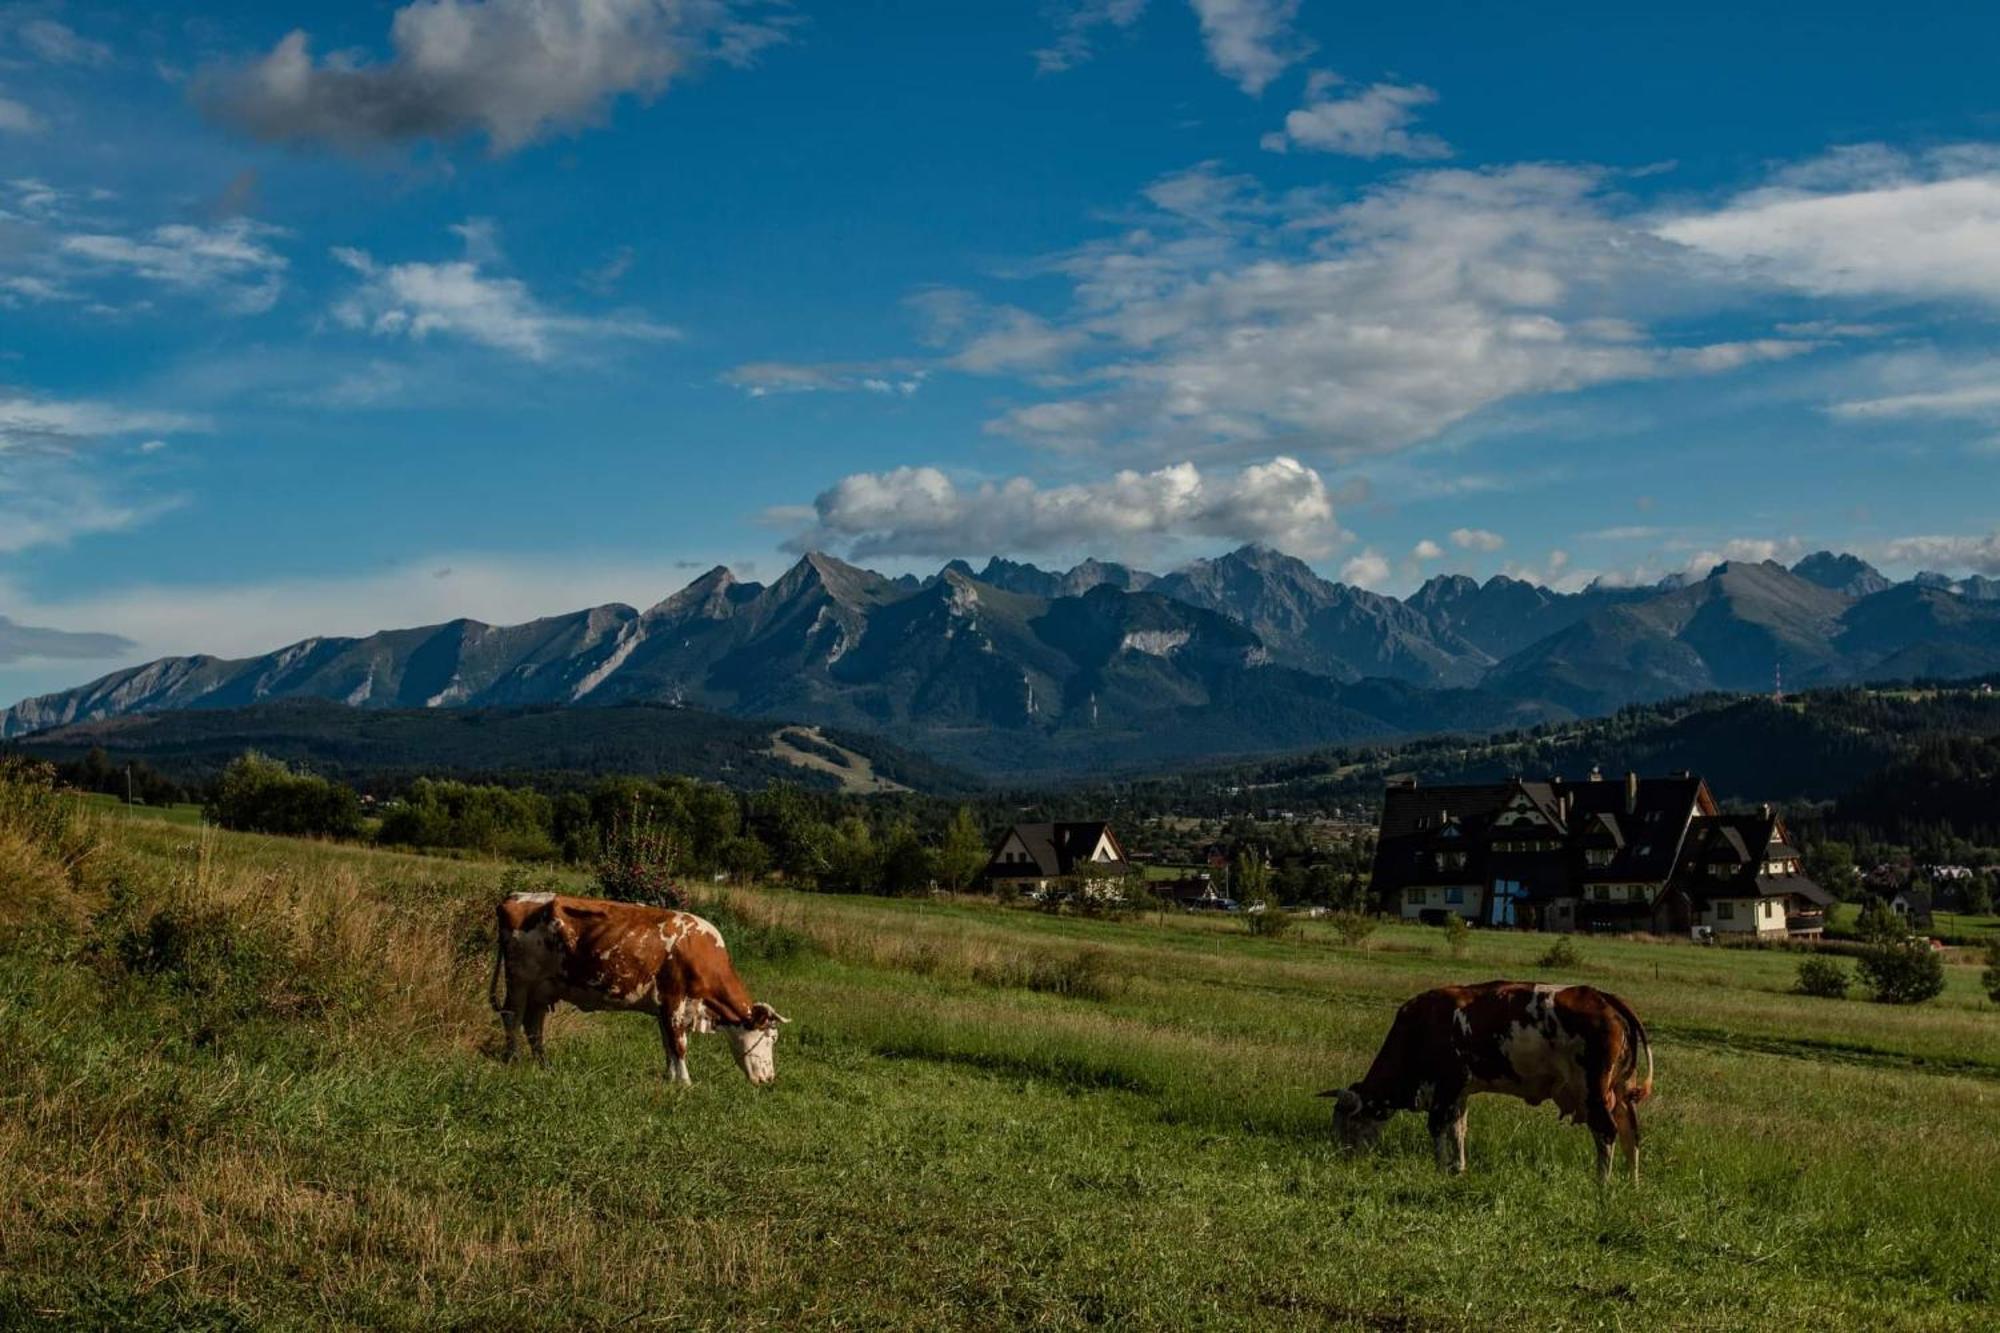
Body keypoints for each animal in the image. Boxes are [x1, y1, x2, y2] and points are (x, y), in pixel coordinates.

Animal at [490, 892, 788, 1080]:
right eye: (771, 1038)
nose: (770, 1079)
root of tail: (513, 897)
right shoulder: (674, 1000)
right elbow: (679, 1044)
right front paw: (686, 1082)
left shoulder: (664, 1007)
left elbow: (668, 1044)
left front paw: (671, 1078)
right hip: (519, 980)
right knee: (512, 1017)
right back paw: (513, 1059)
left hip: (543, 988)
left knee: (533, 1025)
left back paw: (544, 1064)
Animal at [1328, 972, 1656, 1176]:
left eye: (1349, 1121)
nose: (1339, 1156)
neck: (1421, 1027)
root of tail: (1603, 997)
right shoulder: (1460, 1092)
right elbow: (1458, 1129)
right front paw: (1458, 1167)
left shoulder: (1447, 1086)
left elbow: (1437, 1128)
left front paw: (1439, 1167)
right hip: (1620, 1093)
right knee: (1632, 1136)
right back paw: (1632, 1185)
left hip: (1593, 1091)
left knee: (1607, 1132)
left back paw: (1602, 1186)